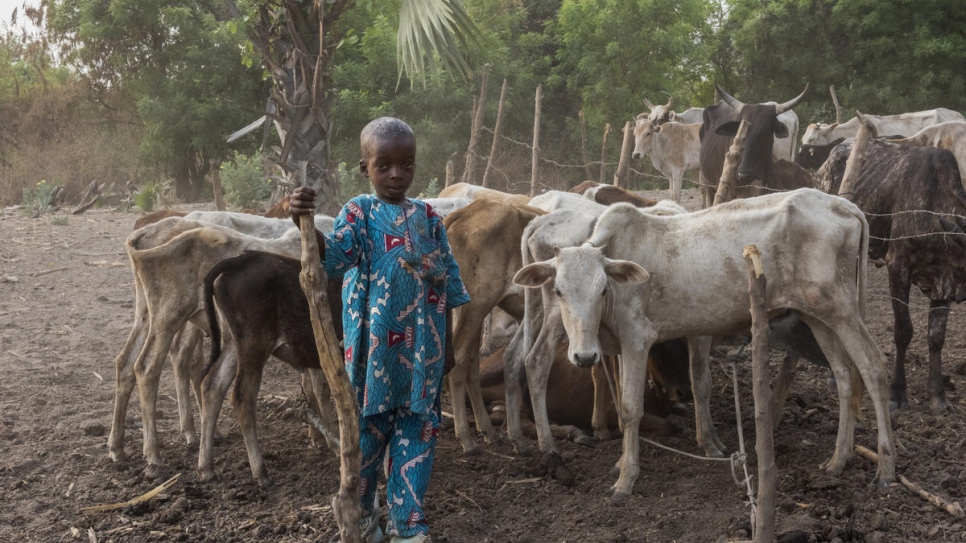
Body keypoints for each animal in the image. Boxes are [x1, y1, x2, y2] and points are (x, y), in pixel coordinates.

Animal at [816, 138, 966, 414]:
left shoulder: (943, 282)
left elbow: (936, 337)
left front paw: (938, 396)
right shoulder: (898, 268)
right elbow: (903, 331)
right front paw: (897, 393)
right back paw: (833, 374)